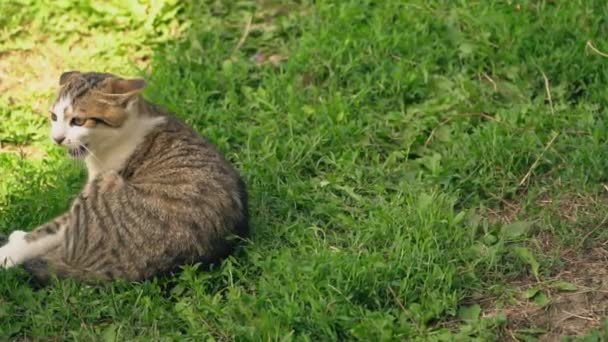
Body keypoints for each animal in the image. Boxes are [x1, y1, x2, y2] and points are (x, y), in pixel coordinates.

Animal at [0, 71, 249, 282]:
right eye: (54, 117)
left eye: (78, 121)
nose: (57, 139)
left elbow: (53, 228)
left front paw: (10, 251)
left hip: (104, 187)